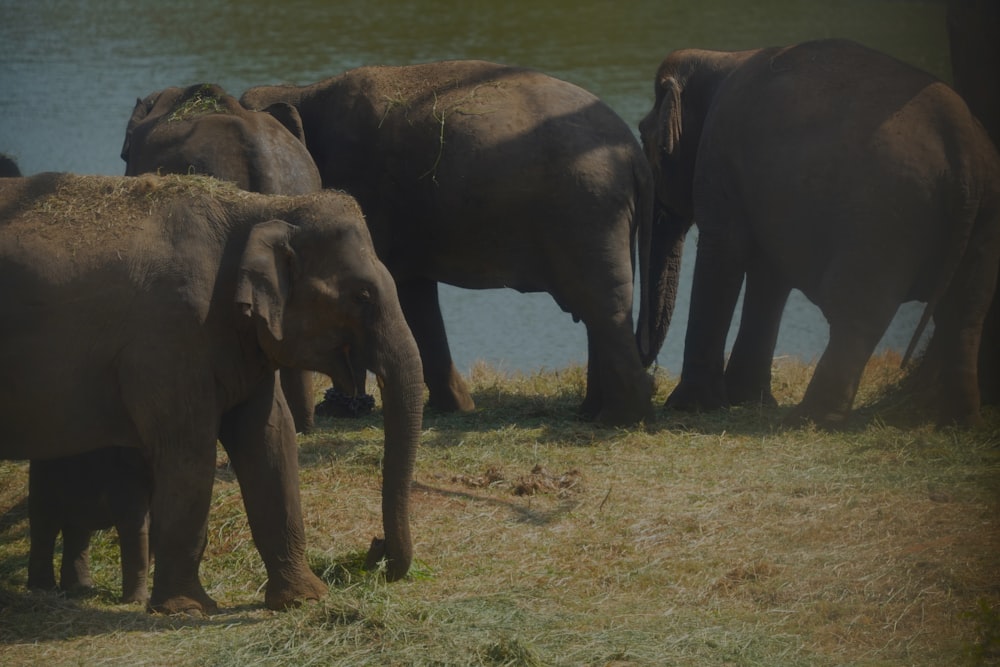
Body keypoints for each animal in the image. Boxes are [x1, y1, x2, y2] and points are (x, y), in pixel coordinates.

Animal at [26, 446, 150, 604]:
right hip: (45, 472)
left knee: (77, 528)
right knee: (46, 522)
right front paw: (137, 602)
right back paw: (44, 589)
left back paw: (79, 588)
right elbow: (132, 522)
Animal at [238, 62, 668, 428]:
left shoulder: (366, 193)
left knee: (601, 305)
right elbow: (413, 289)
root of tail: (633, 153)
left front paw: (346, 410)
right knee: (602, 303)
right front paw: (455, 408)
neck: (301, 91)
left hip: (586, 209)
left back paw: (620, 419)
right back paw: (592, 412)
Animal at [640, 39, 1000, 428]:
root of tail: (963, 149)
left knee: (856, 310)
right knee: (965, 310)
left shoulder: (718, 154)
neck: (719, 58)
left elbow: (724, 251)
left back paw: (811, 418)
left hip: (886, 214)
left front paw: (688, 407)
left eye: (643, 137)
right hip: (984, 214)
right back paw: (954, 420)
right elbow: (769, 273)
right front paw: (746, 399)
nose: (651, 377)